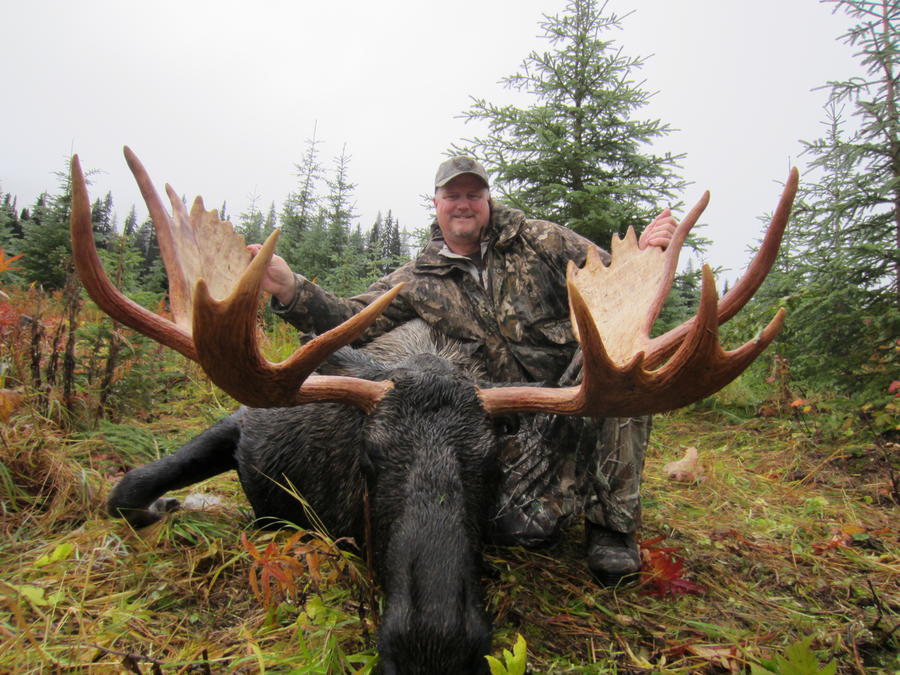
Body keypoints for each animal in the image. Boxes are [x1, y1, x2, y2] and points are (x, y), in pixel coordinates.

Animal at [69, 148, 797, 675]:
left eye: (493, 461)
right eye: (367, 457)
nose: (433, 646)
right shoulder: (241, 427)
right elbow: (127, 487)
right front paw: (179, 503)